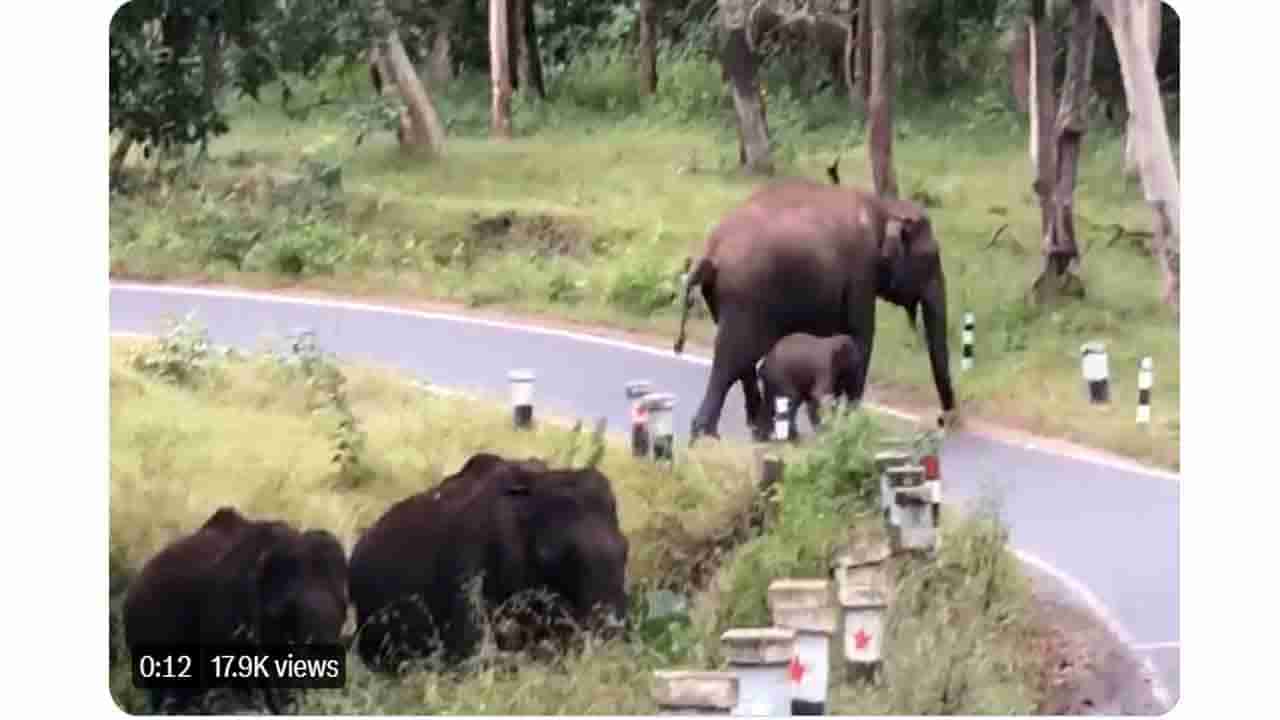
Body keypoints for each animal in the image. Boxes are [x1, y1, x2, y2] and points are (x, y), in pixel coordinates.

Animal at [675, 179, 957, 438]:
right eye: (931, 257)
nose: (944, 420)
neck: (885, 207)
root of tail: (711, 253)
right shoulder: (862, 269)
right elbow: (861, 336)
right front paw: (850, 425)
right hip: (745, 296)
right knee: (732, 360)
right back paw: (707, 433)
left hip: (723, 298)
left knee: (743, 362)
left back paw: (754, 429)